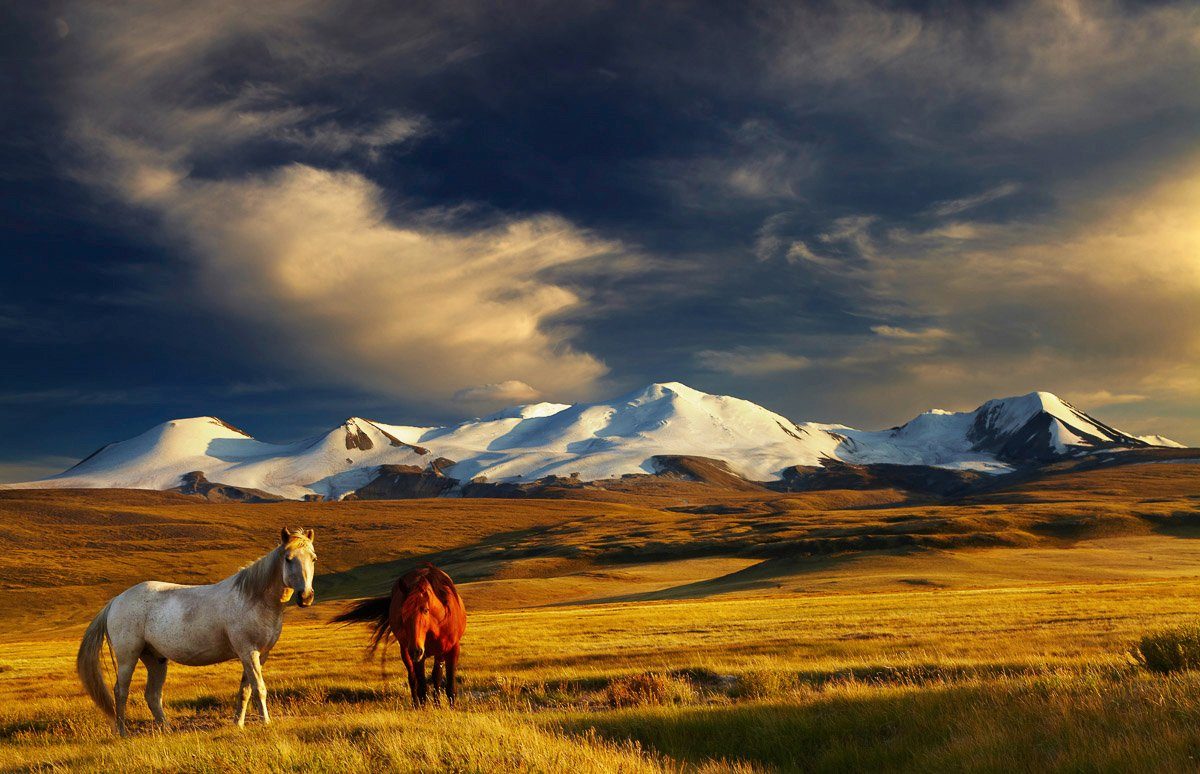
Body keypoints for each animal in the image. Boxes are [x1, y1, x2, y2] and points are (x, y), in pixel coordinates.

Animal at [75, 525, 319, 734]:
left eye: (313, 558)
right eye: (288, 559)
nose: (306, 597)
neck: (253, 598)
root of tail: (116, 600)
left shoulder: (260, 654)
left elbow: (246, 690)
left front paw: (238, 724)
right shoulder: (248, 652)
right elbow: (259, 688)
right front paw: (266, 723)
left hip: (155, 659)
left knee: (152, 695)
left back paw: (167, 729)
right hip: (128, 657)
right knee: (121, 691)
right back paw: (123, 732)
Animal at [338, 564, 472, 705]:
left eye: (425, 610)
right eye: (402, 613)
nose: (416, 651)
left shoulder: (452, 650)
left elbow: (450, 688)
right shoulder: (419, 656)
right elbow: (422, 689)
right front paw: (424, 708)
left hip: (437, 653)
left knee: (436, 676)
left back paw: (437, 703)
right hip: (406, 651)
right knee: (413, 679)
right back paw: (416, 705)